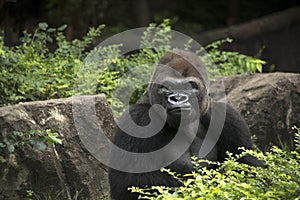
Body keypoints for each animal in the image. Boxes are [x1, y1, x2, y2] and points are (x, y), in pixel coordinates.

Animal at [108, 49, 262, 199]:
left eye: (190, 86)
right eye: (167, 87)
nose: (178, 98)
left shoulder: (228, 117)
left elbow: (251, 168)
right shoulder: (136, 119)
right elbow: (131, 183)